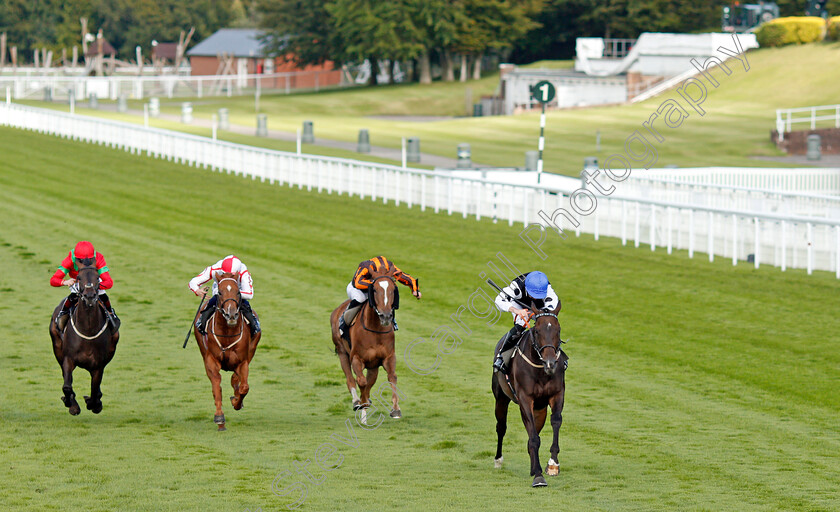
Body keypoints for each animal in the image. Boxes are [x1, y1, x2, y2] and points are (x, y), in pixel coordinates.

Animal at [48, 264, 120, 416]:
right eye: (79, 278)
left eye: (97, 277)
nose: (90, 296)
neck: (88, 329)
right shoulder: (68, 359)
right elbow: (67, 386)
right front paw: (71, 404)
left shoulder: (98, 365)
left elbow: (94, 390)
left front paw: (94, 404)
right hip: (57, 348)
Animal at [193, 272, 260, 432]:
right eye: (220, 292)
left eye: (238, 292)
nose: (231, 315)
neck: (227, 333)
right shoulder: (210, 360)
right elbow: (216, 387)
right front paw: (219, 418)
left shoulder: (242, 361)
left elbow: (244, 387)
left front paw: (236, 402)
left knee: (235, 379)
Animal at [330, 276, 402, 424]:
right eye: (374, 290)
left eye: (393, 290)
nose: (386, 316)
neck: (375, 329)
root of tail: (337, 310)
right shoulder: (357, 358)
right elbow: (361, 381)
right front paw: (361, 403)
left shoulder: (387, 357)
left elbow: (392, 377)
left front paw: (396, 410)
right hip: (342, 352)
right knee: (350, 379)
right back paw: (357, 402)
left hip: (373, 366)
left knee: (369, 383)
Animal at [488, 304, 568, 488]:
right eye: (537, 330)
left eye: (558, 330)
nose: (550, 363)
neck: (540, 369)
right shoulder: (525, 398)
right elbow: (533, 438)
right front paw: (538, 476)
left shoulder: (557, 394)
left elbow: (555, 421)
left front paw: (552, 464)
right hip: (501, 397)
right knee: (501, 427)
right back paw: (498, 460)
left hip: (540, 408)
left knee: (534, 430)